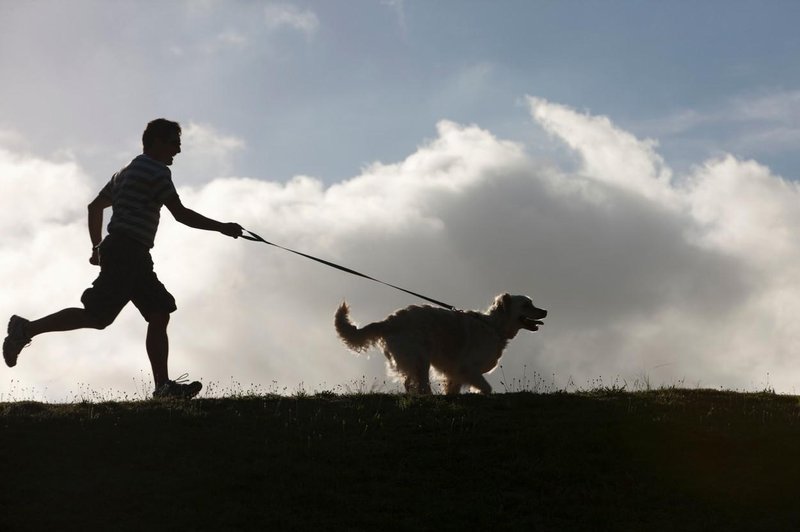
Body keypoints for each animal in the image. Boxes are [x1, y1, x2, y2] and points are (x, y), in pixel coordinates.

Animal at [334, 296, 548, 394]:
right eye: (526, 304)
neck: (493, 326)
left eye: (532, 302)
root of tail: (389, 320)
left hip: (415, 360)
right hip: (420, 359)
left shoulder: (456, 373)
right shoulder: (467, 368)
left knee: (410, 383)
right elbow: (486, 388)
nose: (545, 310)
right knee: (421, 385)